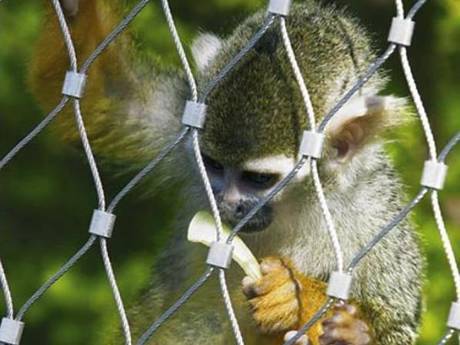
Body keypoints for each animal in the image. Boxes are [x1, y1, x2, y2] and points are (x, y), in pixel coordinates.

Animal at [29, 0, 424, 344]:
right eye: (214, 166)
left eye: (259, 179)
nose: (226, 203)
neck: (301, 199)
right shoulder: (185, 121)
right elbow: (112, 100)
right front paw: (73, 9)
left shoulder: (373, 211)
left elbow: (397, 321)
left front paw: (314, 307)